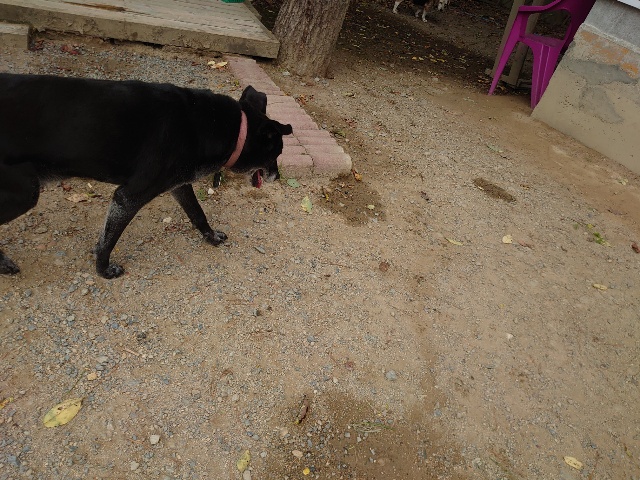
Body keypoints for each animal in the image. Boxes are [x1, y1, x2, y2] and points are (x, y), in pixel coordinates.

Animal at [0, 74, 292, 279]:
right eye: (277, 153)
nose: (277, 178)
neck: (215, 126)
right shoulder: (128, 197)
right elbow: (108, 240)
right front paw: (103, 270)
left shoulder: (179, 184)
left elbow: (198, 214)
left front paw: (211, 237)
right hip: (26, 191)